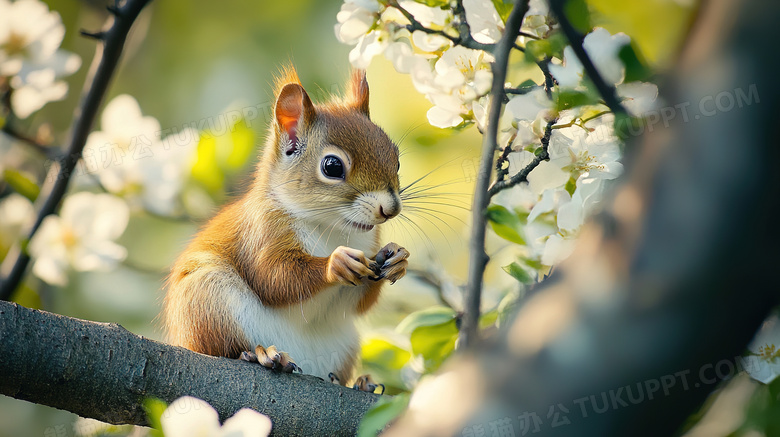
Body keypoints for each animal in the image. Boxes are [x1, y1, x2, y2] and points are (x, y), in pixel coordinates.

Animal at [162, 65, 412, 392]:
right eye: (332, 166)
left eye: (396, 159)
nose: (390, 209)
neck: (331, 226)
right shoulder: (262, 231)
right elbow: (274, 277)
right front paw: (336, 263)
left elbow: (360, 303)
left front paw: (397, 258)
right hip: (206, 303)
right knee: (224, 347)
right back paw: (261, 355)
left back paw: (360, 382)